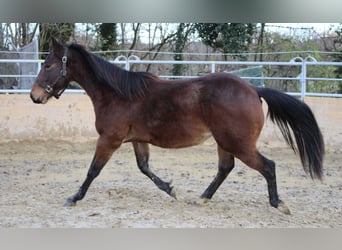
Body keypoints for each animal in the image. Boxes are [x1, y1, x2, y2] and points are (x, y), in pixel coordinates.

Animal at [29, 37, 324, 215]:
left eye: (48, 65)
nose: (35, 96)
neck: (117, 95)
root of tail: (253, 89)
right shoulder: (137, 140)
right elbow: (144, 168)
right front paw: (172, 190)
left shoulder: (109, 140)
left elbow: (93, 171)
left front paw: (73, 198)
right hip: (225, 142)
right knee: (225, 168)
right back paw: (202, 197)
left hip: (238, 143)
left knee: (267, 166)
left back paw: (279, 204)